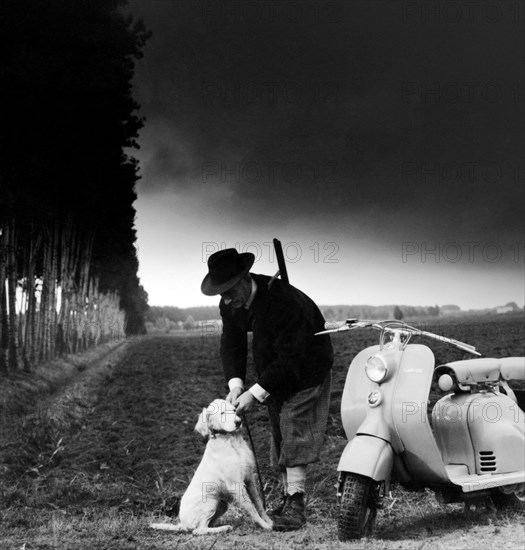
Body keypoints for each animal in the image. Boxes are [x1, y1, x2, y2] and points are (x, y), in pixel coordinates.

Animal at [147, 402, 270, 536]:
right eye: (222, 413)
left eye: (234, 410)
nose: (238, 422)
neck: (232, 441)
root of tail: (182, 524)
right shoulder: (235, 484)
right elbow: (251, 507)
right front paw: (264, 525)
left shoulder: (249, 479)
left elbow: (258, 502)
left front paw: (268, 520)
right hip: (210, 503)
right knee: (199, 530)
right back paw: (224, 528)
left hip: (221, 504)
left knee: (207, 525)